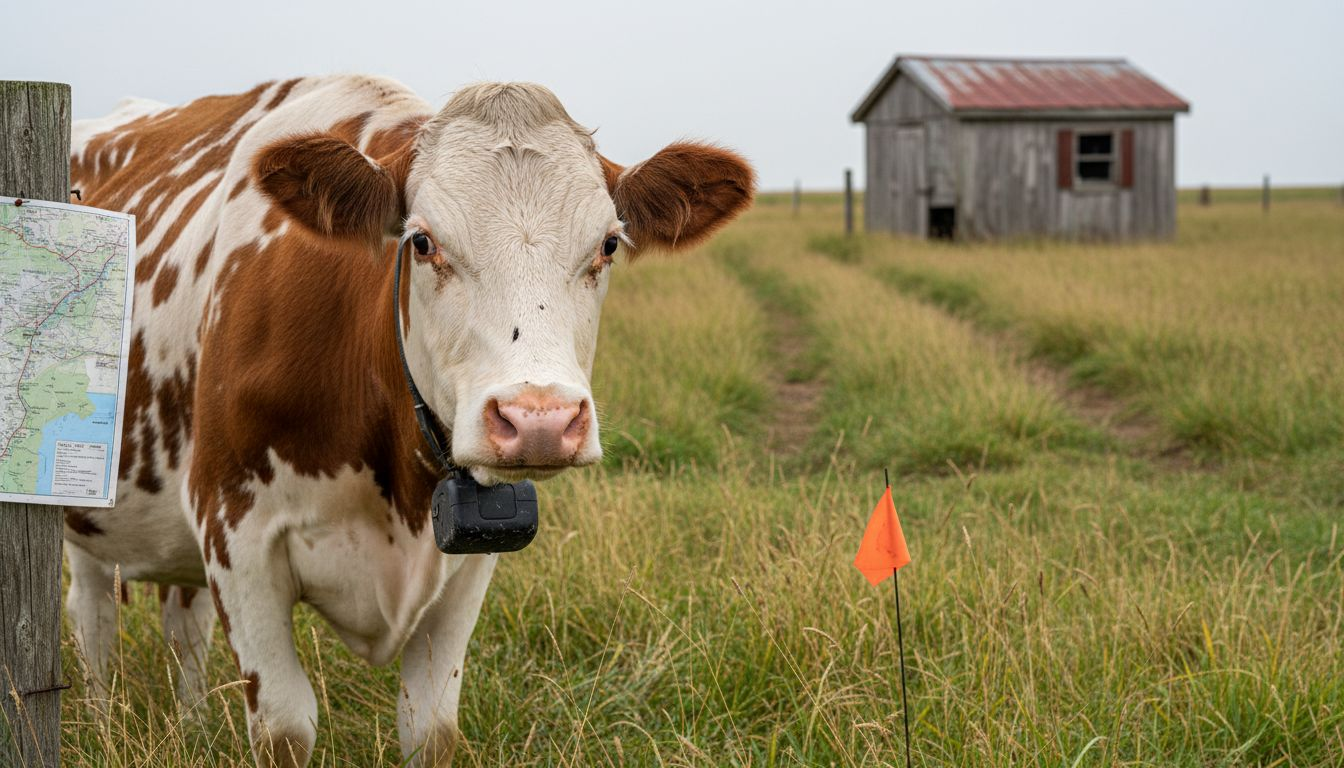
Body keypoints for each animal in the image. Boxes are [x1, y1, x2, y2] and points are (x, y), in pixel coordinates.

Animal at [64, 75, 754, 766]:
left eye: (609, 243)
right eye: (422, 242)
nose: (539, 419)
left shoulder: (470, 560)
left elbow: (430, 728)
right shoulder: (233, 523)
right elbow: (285, 727)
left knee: (182, 623)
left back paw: (194, 726)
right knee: (93, 617)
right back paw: (100, 719)